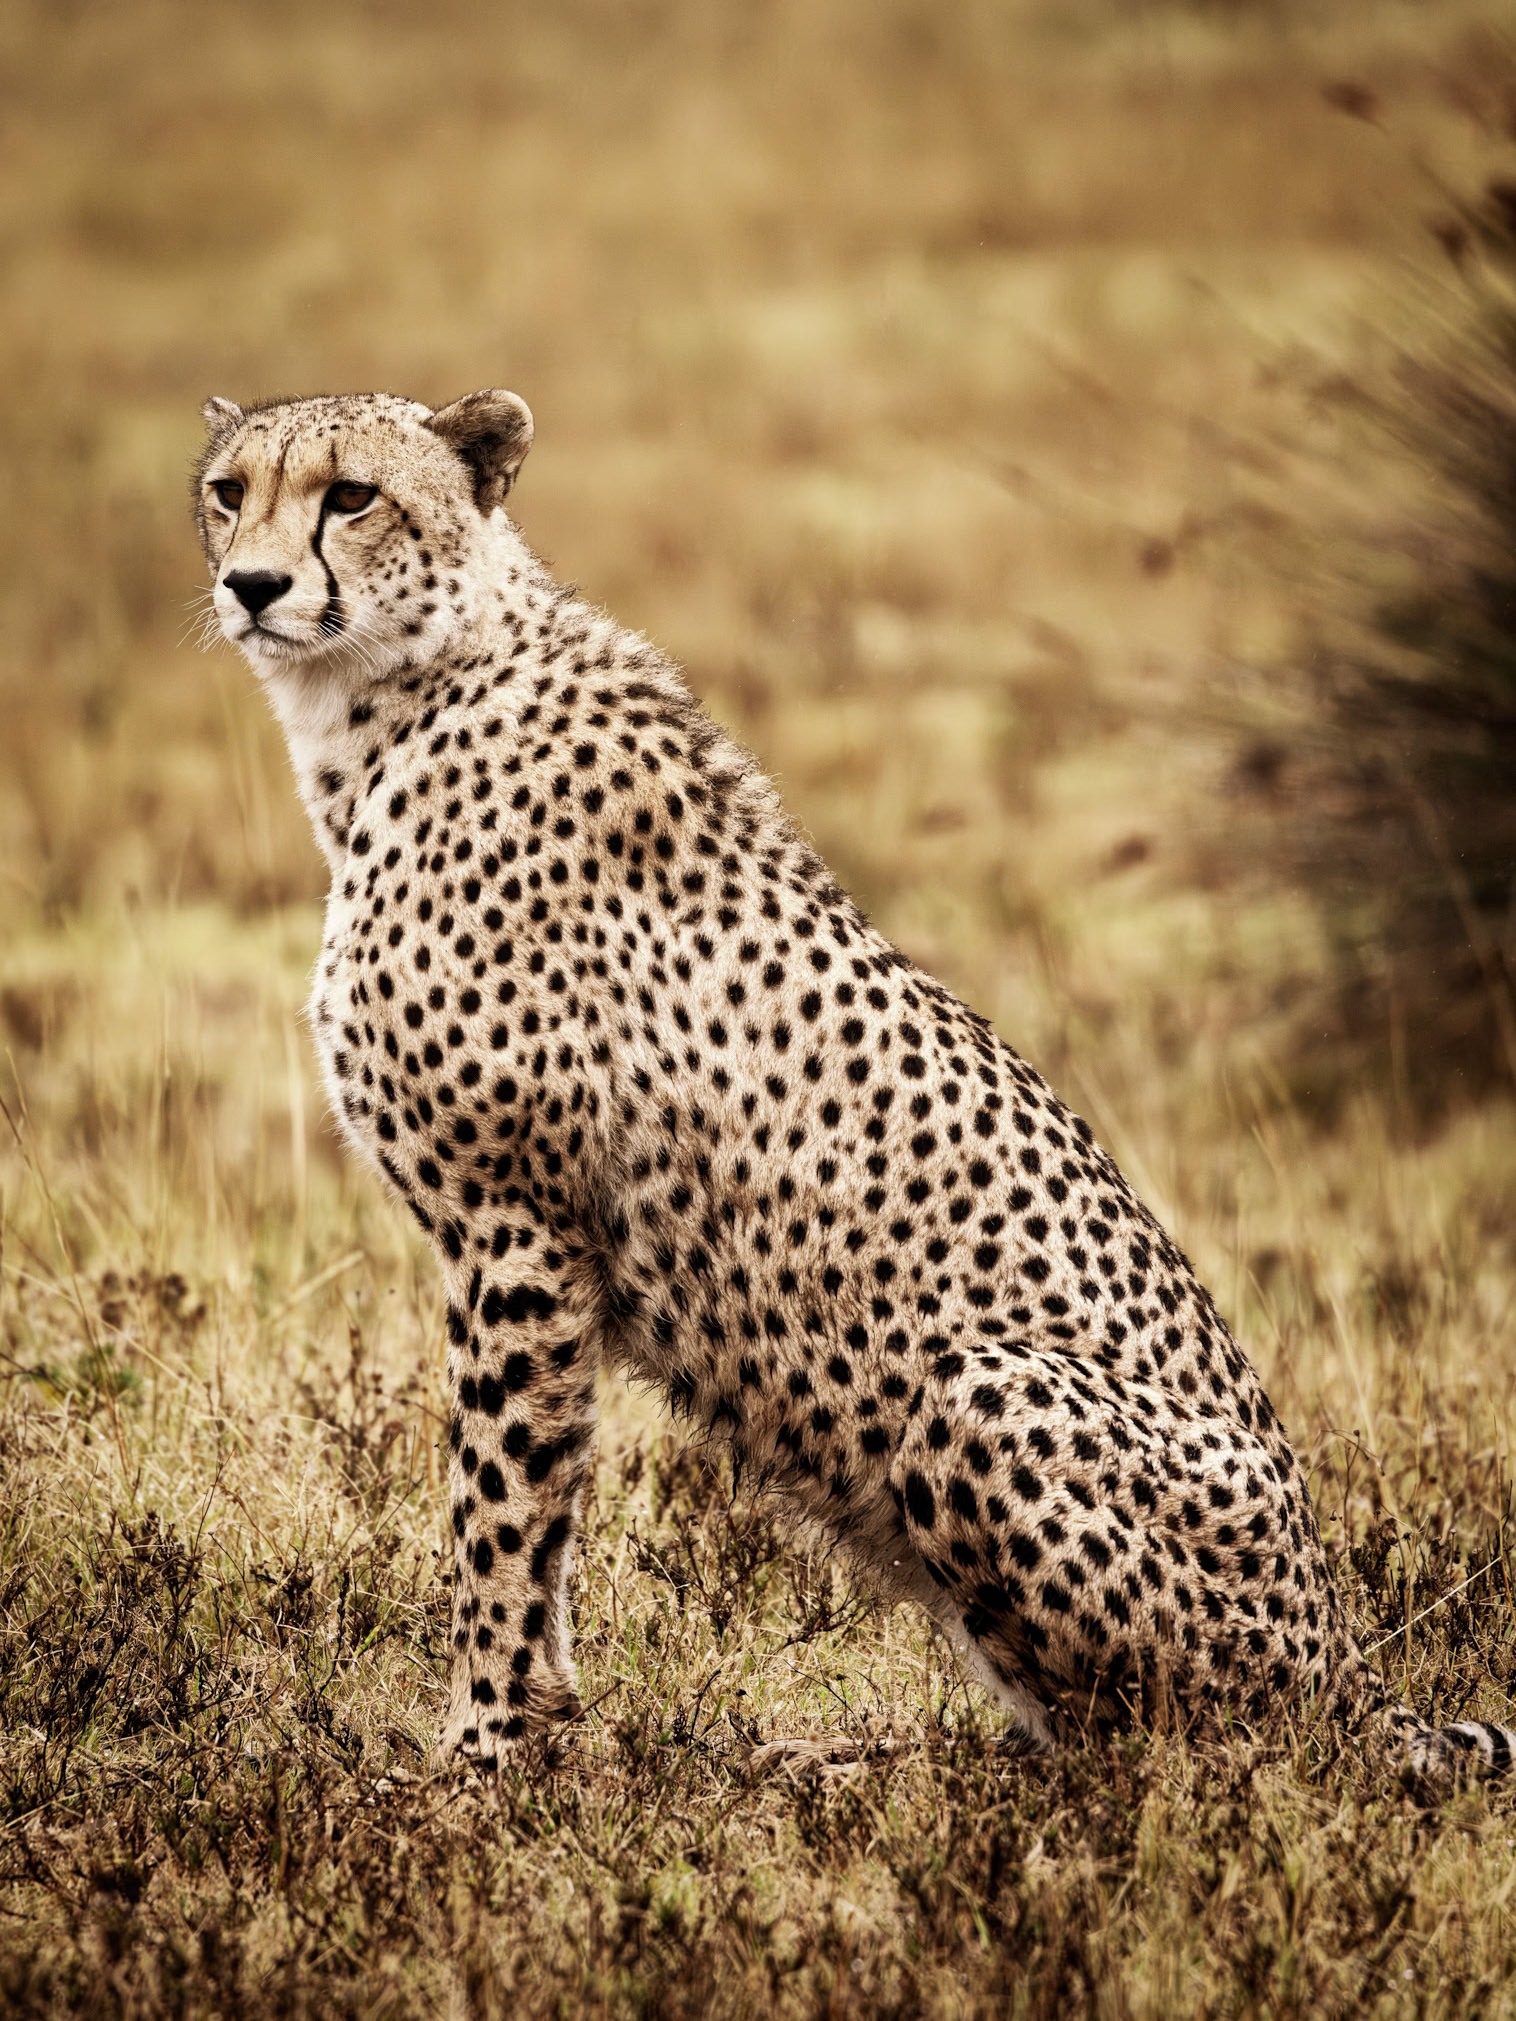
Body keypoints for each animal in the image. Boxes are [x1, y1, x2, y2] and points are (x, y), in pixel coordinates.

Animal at [195, 384, 1514, 1784]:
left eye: (350, 495)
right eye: (229, 490)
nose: (252, 584)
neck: (396, 697)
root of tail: (1350, 1665)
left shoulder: (518, 1227)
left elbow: (500, 1513)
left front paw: (479, 1754)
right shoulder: (536, 1249)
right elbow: (540, 1521)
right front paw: (536, 1732)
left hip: (985, 1394)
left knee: (1175, 1757)